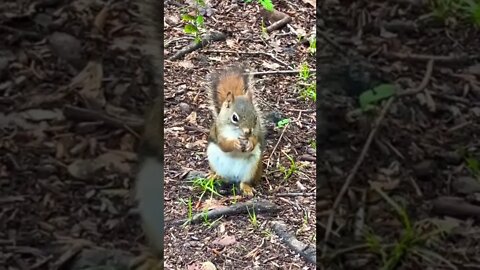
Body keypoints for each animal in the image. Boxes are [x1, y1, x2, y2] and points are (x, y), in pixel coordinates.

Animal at [206, 65, 266, 196]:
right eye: (234, 118)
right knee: (220, 175)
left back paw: (246, 188)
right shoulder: (219, 133)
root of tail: (232, 177)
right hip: (213, 158)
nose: (248, 132)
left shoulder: (257, 132)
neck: (237, 133)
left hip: (253, 166)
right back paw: (214, 176)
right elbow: (224, 145)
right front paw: (235, 143)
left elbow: (255, 140)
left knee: (245, 181)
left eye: (255, 117)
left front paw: (249, 144)